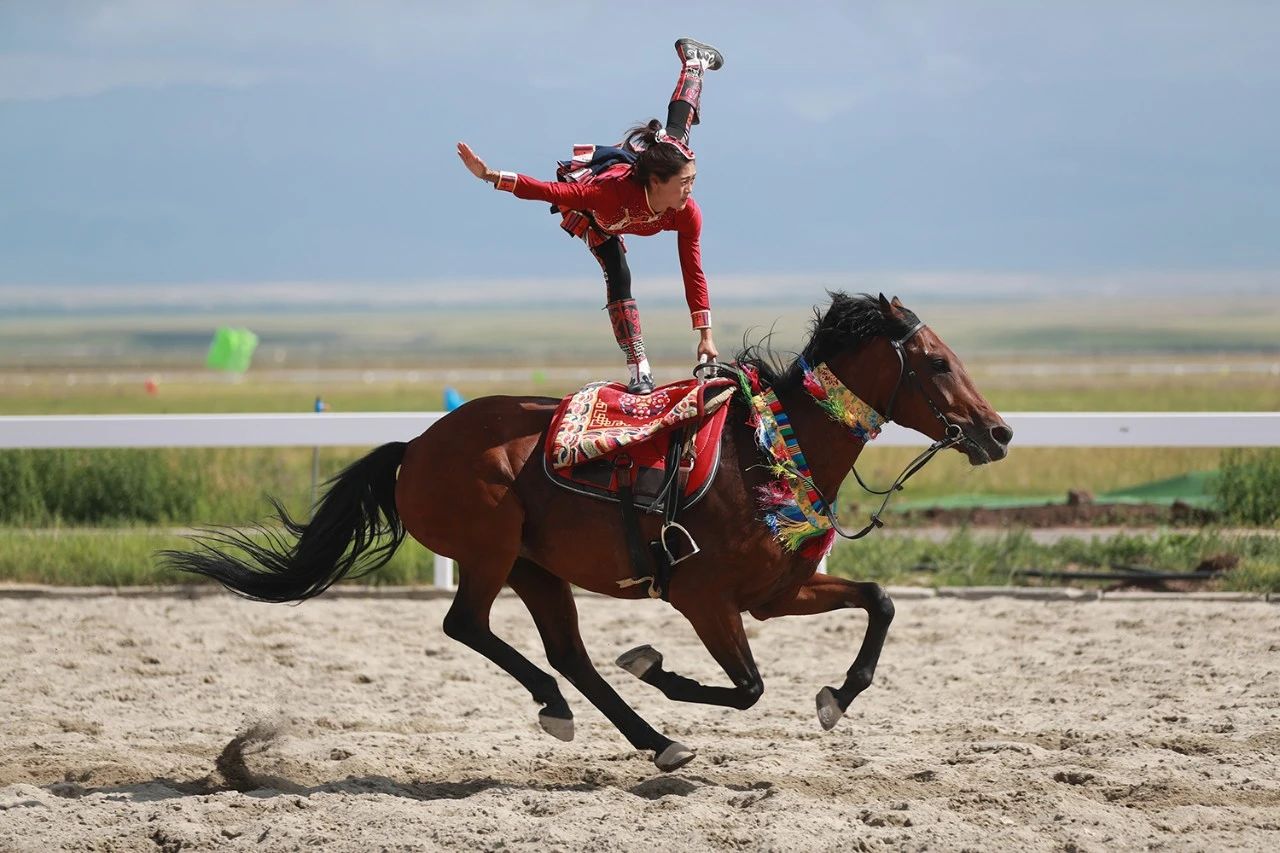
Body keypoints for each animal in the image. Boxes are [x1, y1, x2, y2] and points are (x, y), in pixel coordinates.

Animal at [165, 292, 1008, 768]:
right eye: (937, 362)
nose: (997, 432)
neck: (766, 450)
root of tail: (416, 446)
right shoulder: (704, 598)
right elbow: (748, 686)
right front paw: (657, 666)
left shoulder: (778, 593)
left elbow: (879, 601)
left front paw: (838, 695)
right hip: (491, 550)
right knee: (468, 625)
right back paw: (573, 708)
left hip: (536, 568)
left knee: (566, 651)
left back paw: (651, 740)